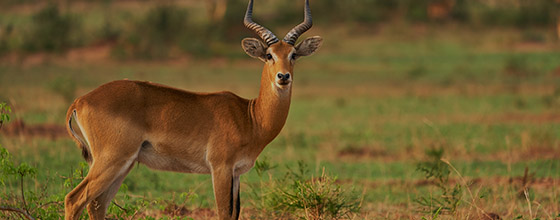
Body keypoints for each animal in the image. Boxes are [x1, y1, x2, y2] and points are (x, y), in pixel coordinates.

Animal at [63, 0, 322, 219]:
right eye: (269, 55)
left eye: (293, 55)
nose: (283, 77)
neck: (250, 117)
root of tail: (81, 100)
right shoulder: (220, 168)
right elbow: (223, 213)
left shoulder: (236, 173)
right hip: (111, 159)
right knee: (74, 199)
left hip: (122, 164)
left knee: (97, 205)